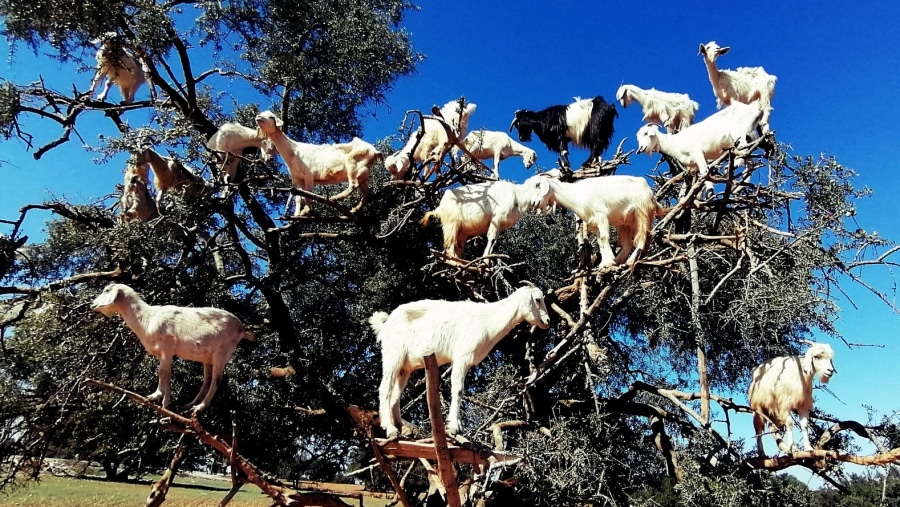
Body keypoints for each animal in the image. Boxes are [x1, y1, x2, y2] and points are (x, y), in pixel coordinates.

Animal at [370, 286, 552, 436]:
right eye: (538, 299)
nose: (548, 321)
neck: (487, 320)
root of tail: (384, 325)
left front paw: (456, 425)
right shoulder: (462, 356)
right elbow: (458, 390)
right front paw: (453, 427)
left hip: (404, 368)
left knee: (395, 395)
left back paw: (403, 429)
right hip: (393, 355)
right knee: (384, 389)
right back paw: (390, 430)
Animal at [516, 172, 664, 268]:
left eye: (537, 185)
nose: (534, 203)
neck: (576, 194)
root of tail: (651, 194)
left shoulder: (601, 216)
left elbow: (604, 238)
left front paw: (608, 262)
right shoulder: (594, 222)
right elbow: (600, 242)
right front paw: (605, 263)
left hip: (642, 212)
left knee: (643, 237)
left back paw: (630, 261)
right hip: (625, 222)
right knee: (628, 244)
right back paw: (619, 260)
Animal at [636, 101, 764, 198]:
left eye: (646, 133)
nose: (640, 149)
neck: (675, 142)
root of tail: (756, 109)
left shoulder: (697, 152)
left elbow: (704, 171)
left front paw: (710, 192)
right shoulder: (699, 160)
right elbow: (704, 172)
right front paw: (708, 192)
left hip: (739, 133)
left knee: (745, 150)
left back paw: (733, 166)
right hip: (750, 134)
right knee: (750, 162)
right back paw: (740, 185)